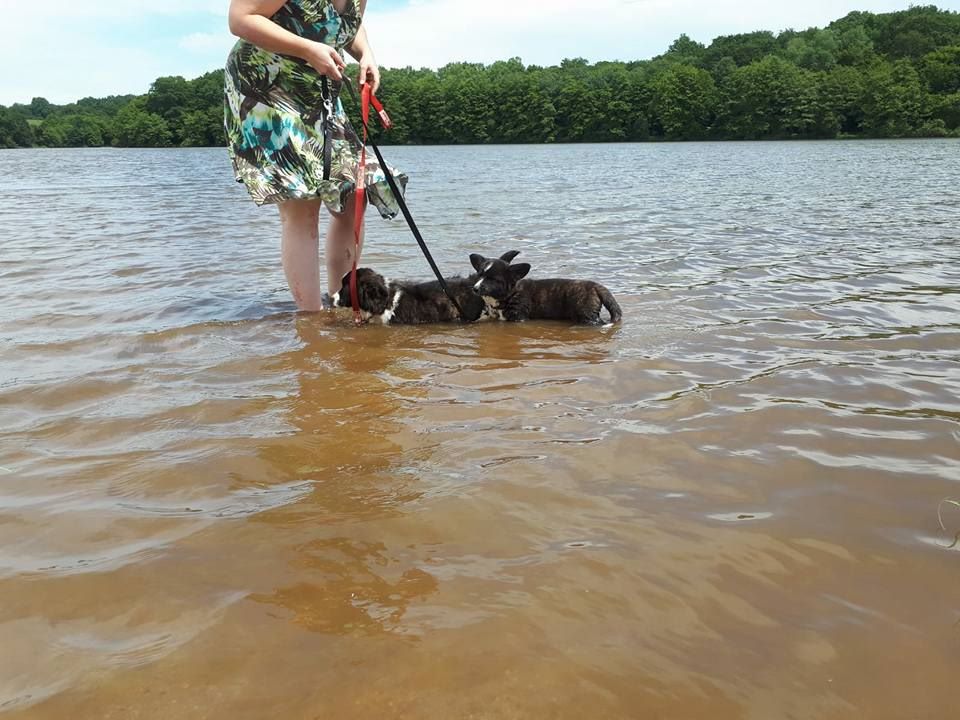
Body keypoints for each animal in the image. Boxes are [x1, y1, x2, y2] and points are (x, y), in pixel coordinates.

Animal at [472, 250, 624, 324]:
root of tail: (597, 286)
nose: (474, 288)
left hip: (587, 316)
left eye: (493, 279)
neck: (510, 294)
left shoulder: (518, 318)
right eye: (479, 275)